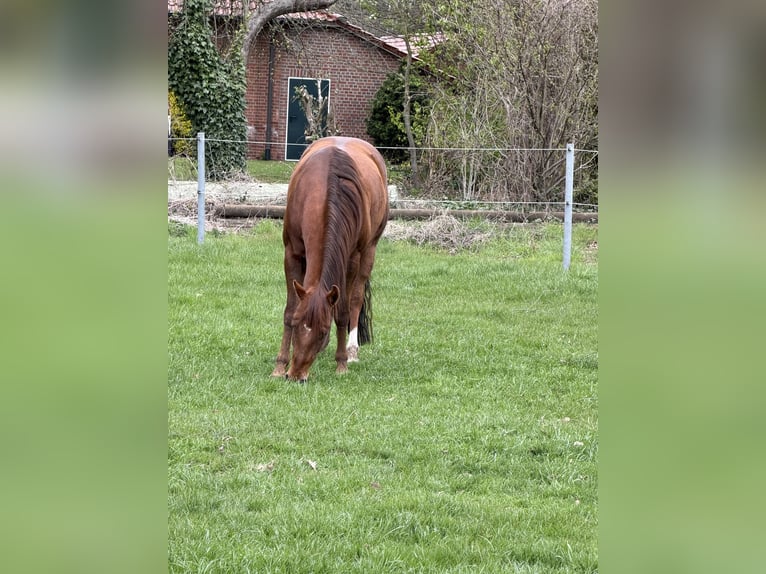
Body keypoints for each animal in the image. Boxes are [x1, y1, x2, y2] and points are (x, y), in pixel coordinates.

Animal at [271, 137, 389, 382]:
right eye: (297, 324)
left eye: (323, 330)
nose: (296, 375)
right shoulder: (291, 253)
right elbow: (289, 309)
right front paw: (279, 365)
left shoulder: (351, 259)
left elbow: (342, 311)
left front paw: (341, 363)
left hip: (369, 252)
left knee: (355, 300)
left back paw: (351, 351)